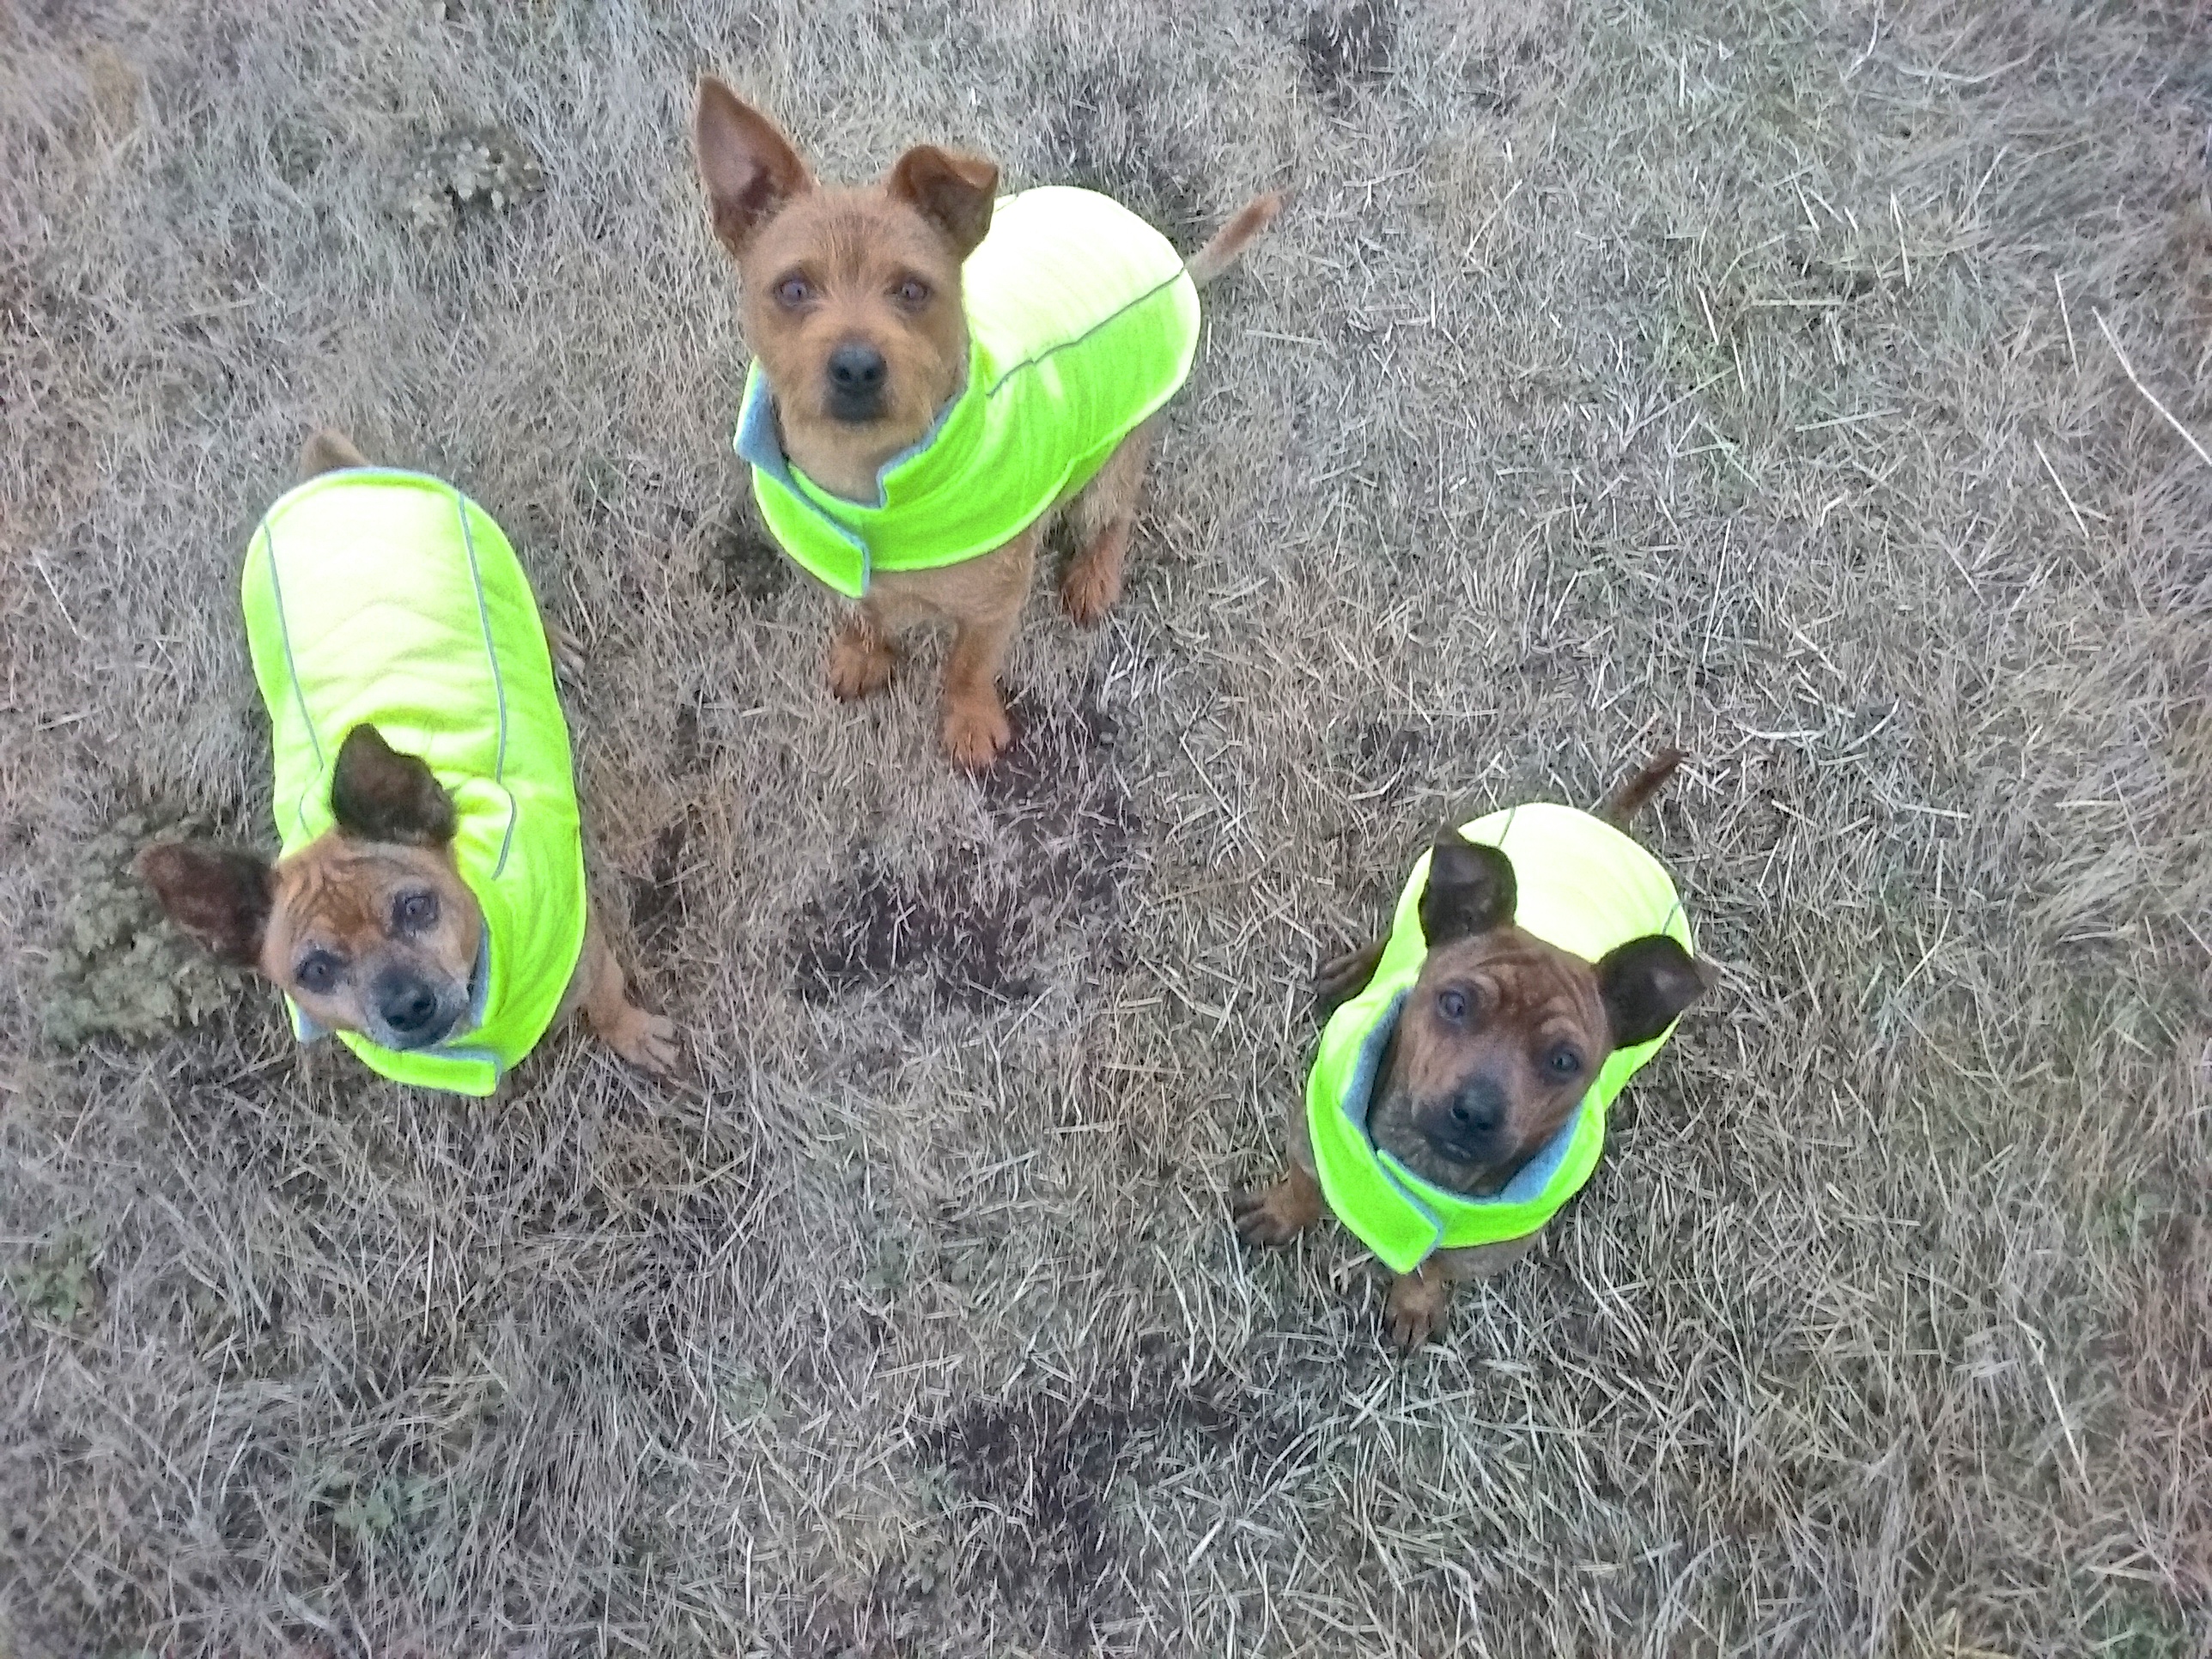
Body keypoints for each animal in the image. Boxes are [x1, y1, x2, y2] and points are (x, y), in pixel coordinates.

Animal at [137, 430, 677, 1094]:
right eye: (314, 970)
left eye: (416, 907)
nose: (407, 1006)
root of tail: (329, 484)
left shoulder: (585, 949)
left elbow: (607, 1000)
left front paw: (633, 1033)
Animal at [691, 76, 1280, 769]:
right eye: (792, 290)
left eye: (912, 291)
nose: (857, 368)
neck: (872, 483)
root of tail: (1173, 268)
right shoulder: (835, 564)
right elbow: (860, 613)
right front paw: (865, 652)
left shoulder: (995, 605)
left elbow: (968, 665)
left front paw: (970, 719)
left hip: (1113, 460)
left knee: (1117, 513)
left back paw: (1095, 575)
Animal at [1234, 750, 1712, 1352]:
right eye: (1456, 1004)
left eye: (1564, 1061)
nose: (1476, 1112)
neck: (1423, 1169)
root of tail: (1606, 828)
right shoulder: (1311, 1141)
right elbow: (1302, 1187)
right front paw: (1280, 1213)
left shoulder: (1481, 1251)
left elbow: (1430, 1268)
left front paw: (1415, 1303)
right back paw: (1355, 971)